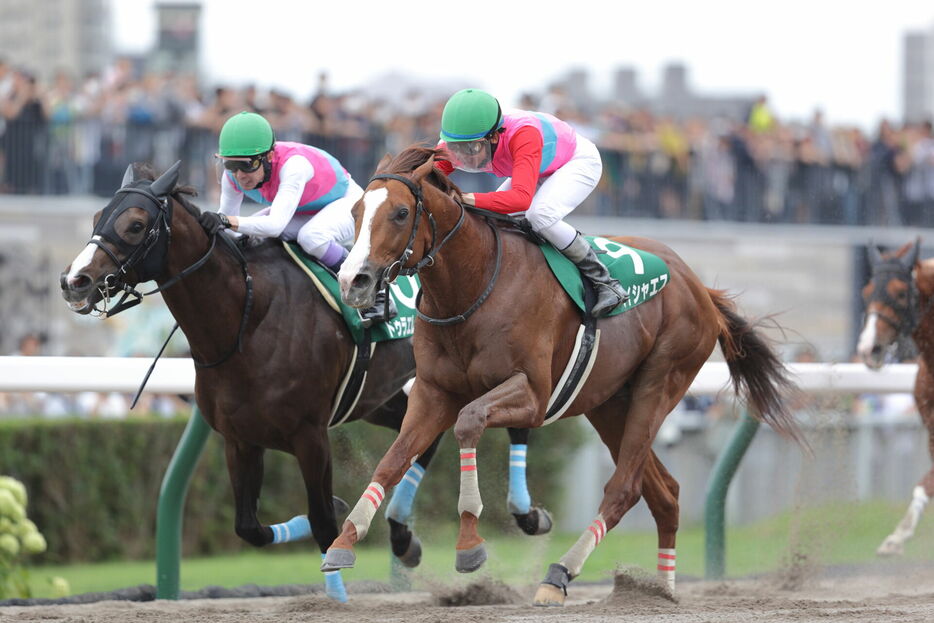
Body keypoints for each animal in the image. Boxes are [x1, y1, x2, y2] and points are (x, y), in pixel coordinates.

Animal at [58, 163, 552, 604]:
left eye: (136, 225)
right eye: (97, 217)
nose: (74, 281)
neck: (246, 320)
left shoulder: (310, 435)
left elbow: (320, 519)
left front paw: (337, 590)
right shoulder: (240, 439)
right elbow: (249, 527)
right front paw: (340, 517)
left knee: (514, 423)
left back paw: (526, 514)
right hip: (389, 399)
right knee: (422, 443)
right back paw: (402, 537)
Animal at [322, 149, 804, 608]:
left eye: (401, 212)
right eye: (356, 211)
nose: (354, 281)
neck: (473, 285)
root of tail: (699, 286)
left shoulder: (532, 396)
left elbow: (469, 422)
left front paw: (470, 543)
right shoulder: (433, 392)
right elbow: (394, 458)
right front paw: (344, 541)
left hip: (661, 381)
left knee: (624, 488)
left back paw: (559, 576)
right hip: (609, 403)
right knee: (663, 493)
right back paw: (661, 591)